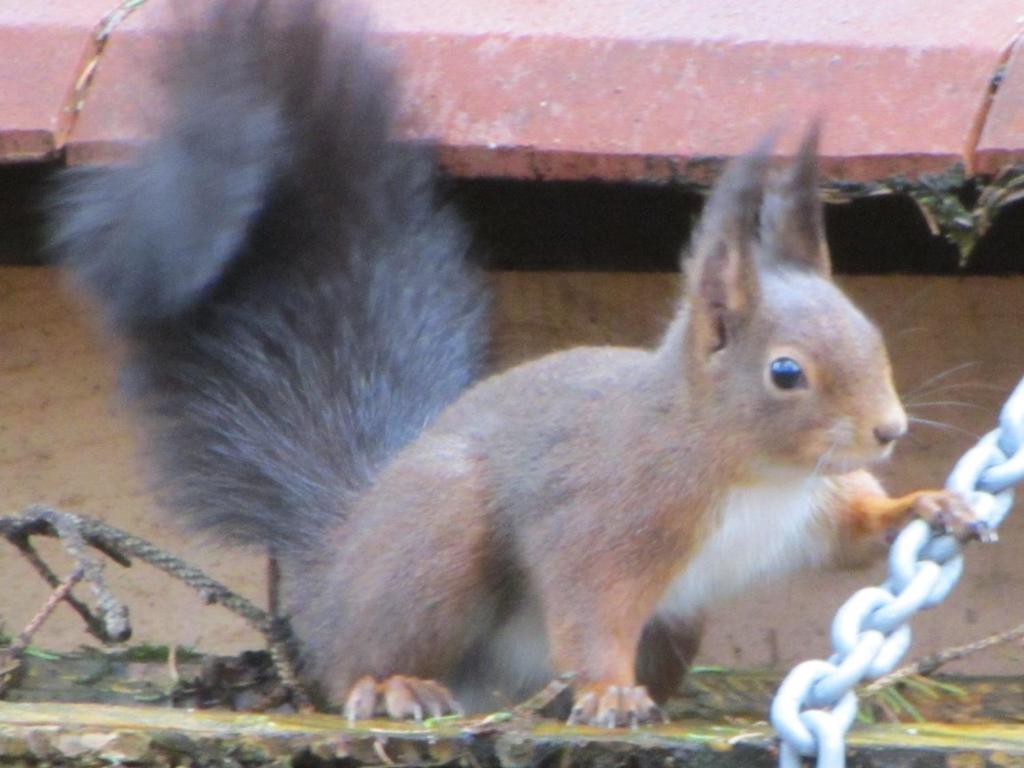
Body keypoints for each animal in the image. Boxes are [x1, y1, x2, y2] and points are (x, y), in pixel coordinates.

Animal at [54, 0, 974, 729]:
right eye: (786, 373)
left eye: (869, 329)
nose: (889, 430)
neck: (753, 473)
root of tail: (338, 554)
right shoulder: (607, 519)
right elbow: (589, 609)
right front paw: (607, 692)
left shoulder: (810, 511)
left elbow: (854, 536)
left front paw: (930, 504)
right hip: (438, 540)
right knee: (355, 658)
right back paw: (394, 685)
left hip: (674, 622)